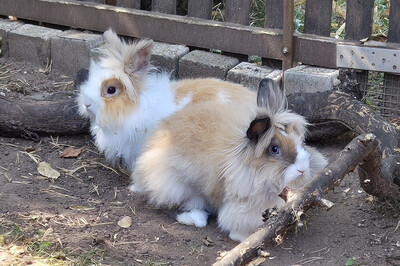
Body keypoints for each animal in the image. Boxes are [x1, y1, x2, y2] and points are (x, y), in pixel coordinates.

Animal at [131, 78, 328, 242]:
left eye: (299, 141)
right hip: (174, 185)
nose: (302, 169)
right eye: (274, 149)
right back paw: (197, 219)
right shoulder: (241, 206)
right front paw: (242, 237)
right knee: (171, 206)